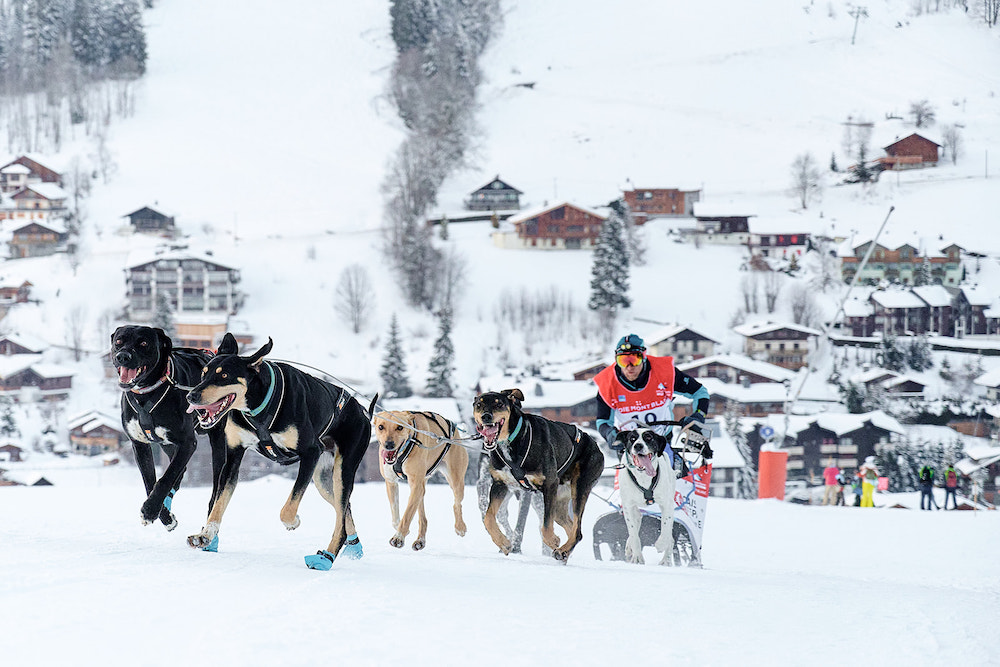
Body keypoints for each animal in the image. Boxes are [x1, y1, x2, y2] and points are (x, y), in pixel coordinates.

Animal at [112, 324, 226, 532]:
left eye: (143, 343)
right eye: (118, 341)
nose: (123, 356)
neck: (146, 393)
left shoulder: (188, 443)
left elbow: (166, 478)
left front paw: (150, 510)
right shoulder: (139, 445)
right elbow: (151, 481)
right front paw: (162, 515)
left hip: (217, 445)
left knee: (215, 483)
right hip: (168, 446)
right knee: (179, 473)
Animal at [184, 334, 372, 568]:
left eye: (224, 375)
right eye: (204, 374)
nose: (191, 396)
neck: (259, 405)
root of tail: (362, 410)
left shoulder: (311, 452)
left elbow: (288, 508)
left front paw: (293, 522)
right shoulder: (233, 456)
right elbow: (218, 503)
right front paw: (206, 535)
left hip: (343, 470)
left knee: (341, 517)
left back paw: (326, 558)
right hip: (324, 481)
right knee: (344, 509)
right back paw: (353, 547)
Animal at [374, 410, 470, 552]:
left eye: (400, 427)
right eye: (381, 427)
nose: (389, 444)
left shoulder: (415, 484)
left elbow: (407, 514)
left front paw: (398, 537)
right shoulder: (391, 482)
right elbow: (396, 516)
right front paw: (402, 531)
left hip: (456, 481)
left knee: (457, 504)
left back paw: (460, 527)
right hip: (421, 487)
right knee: (422, 517)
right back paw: (420, 540)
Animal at [470, 386, 600, 564]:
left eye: (499, 404)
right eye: (479, 404)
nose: (486, 416)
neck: (511, 440)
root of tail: (594, 443)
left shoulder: (549, 485)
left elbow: (545, 526)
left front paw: (552, 540)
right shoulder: (499, 484)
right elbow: (488, 518)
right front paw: (503, 543)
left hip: (579, 490)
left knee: (577, 530)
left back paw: (561, 550)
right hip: (559, 504)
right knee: (571, 527)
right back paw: (564, 553)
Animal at [612, 428, 676, 564]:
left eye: (648, 438)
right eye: (632, 438)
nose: (638, 446)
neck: (643, 477)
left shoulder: (666, 505)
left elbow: (665, 529)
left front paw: (661, 544)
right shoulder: (628, 506)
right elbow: (634, 534)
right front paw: (637, 557)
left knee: (670, 536)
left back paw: (665, 561)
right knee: (635, 526)